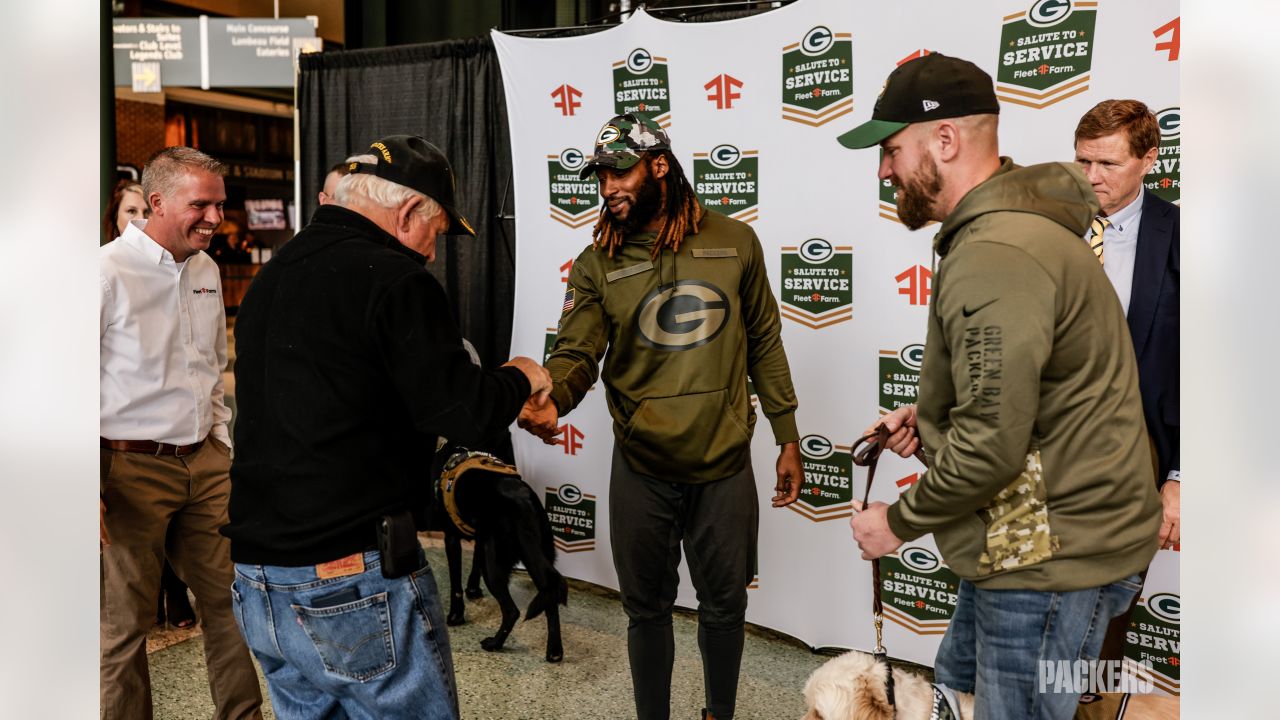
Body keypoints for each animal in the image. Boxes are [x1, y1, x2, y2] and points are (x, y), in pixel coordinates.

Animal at [435, 448, 565, 661]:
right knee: (550, 598)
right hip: (537, 556)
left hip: (495, 567)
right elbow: (475, 564)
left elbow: (455, 586)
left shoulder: (452, 538)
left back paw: (494, 644)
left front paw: (455, 616)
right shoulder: (481, 539)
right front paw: (473, 590)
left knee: (512, 611)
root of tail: (523, 500)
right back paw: (554, 651)